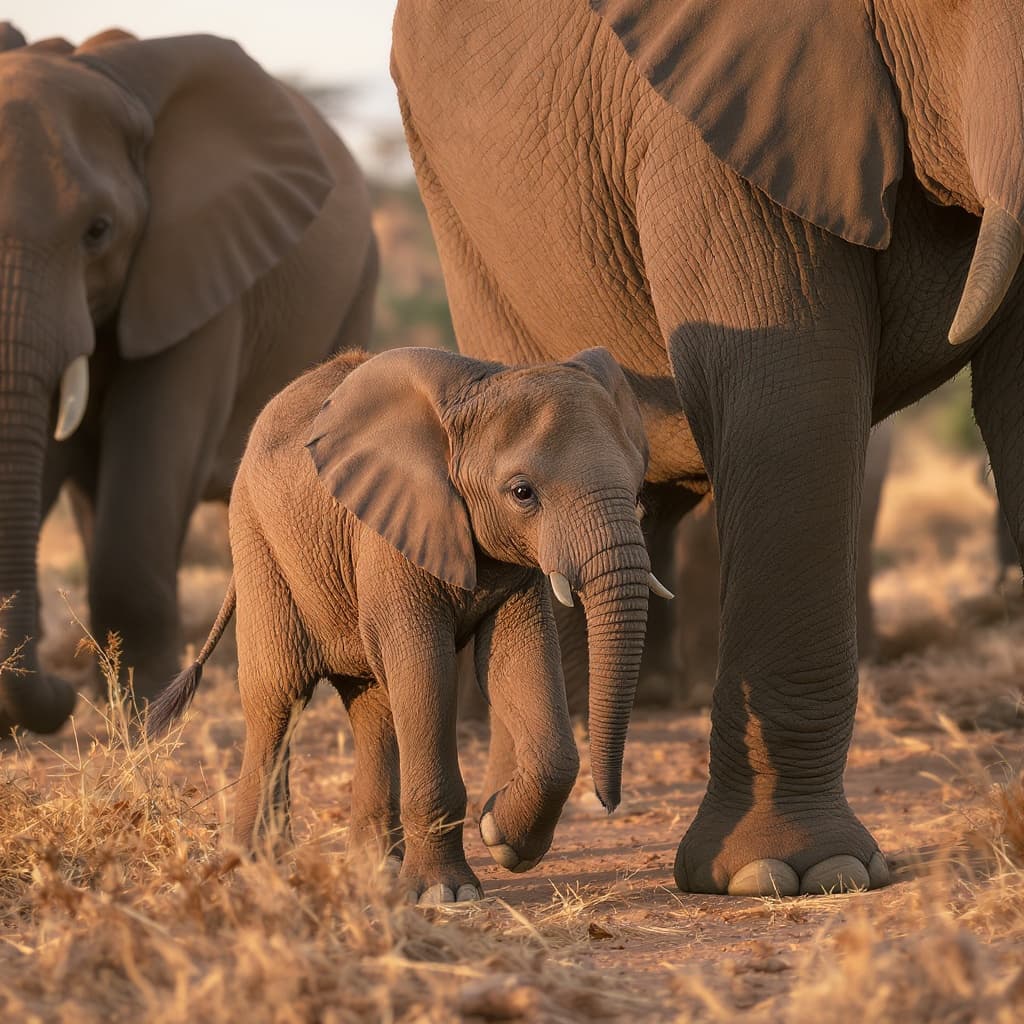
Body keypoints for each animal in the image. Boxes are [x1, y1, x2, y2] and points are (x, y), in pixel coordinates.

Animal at [0, 26, 377, 734]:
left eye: (98, 232)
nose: (59, 695)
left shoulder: (201, 267)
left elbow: (151, 457)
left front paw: (144, 710)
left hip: (359, 282)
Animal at [148, 345, 664, 904]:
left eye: (639, 493)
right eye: (523, 493)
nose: (610, 805)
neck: (480, 387)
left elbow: (514, 662)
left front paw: (500, 839)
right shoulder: (389, 533)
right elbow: (424, 665)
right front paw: (447, 895)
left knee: (374, 703)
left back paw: (375, 870)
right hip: (258, 540)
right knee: (277, 696)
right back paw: (256, 869)